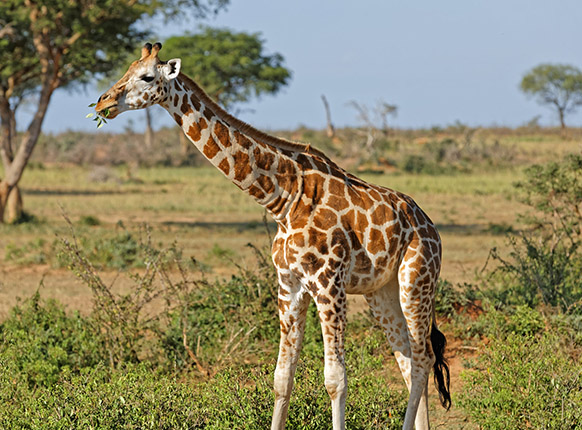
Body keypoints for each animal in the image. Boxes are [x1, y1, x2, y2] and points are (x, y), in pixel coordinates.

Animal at [96, 41, 452, 430]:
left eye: (146, 76)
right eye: (126, 69)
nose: (102, 103)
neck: (283, 198)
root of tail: (429, 225)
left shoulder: (328, 284)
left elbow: (335, 380)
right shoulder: (289, 284)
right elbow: (282, 378)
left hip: (416, 279)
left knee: (423, 359)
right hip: (381, 291)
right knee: (407, 359)